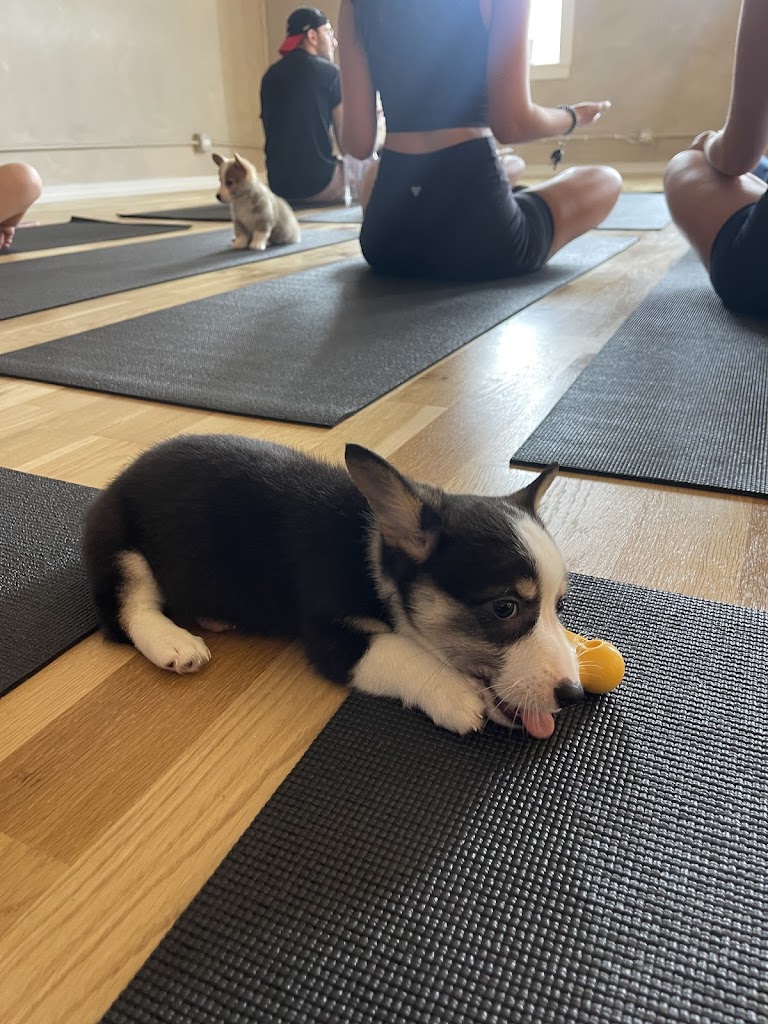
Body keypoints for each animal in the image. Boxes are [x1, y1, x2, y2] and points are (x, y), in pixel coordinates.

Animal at [83, 435, 583, 738]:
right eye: (505, 608)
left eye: (559, 606)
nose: (572, 696)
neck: (373, 558)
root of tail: (122, 475)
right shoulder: (330, 638)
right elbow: (400, 652)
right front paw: (454, 694)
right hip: (120, 545)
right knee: (128, 610)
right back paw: (174, 642)